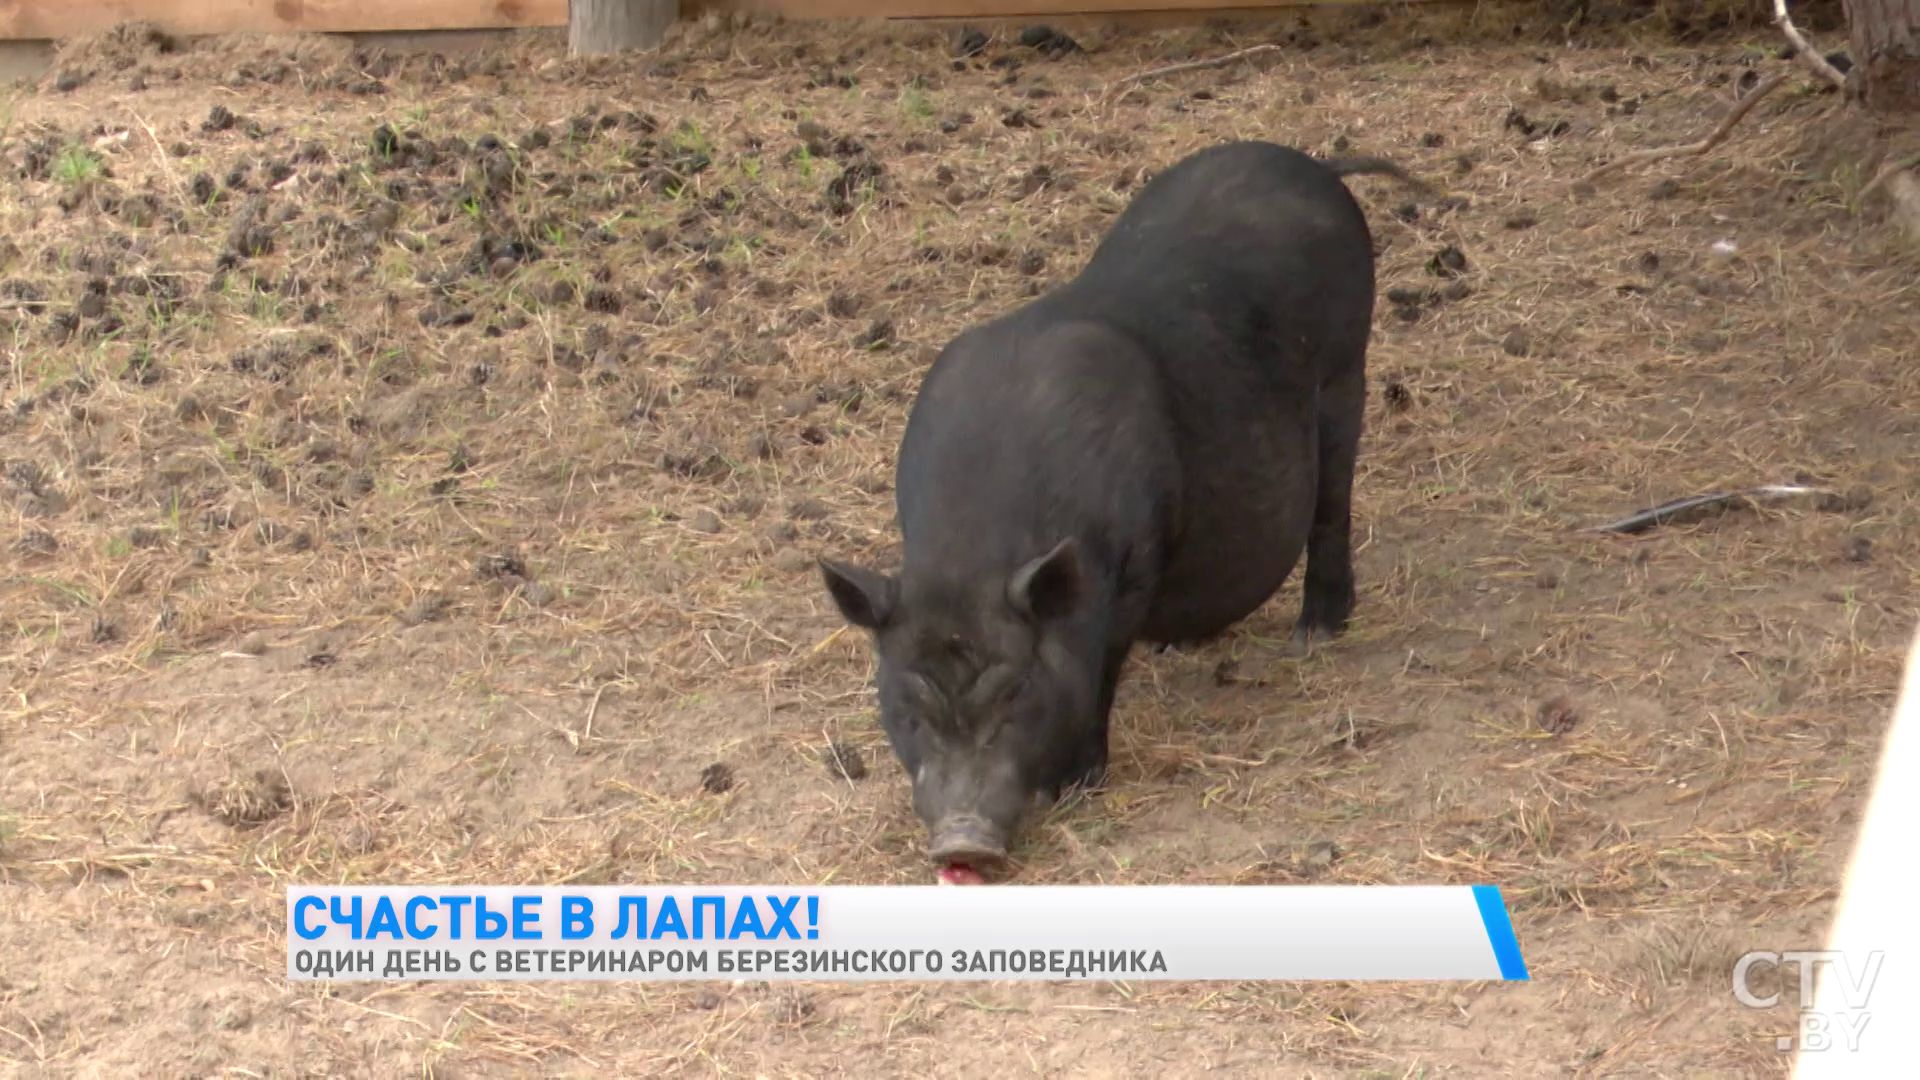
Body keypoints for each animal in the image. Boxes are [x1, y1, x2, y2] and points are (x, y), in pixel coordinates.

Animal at [810, 141, 1413, 883]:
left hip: (1345, 369)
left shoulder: (1135, 561)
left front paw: (1079, 784)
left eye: (1016, 693)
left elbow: (1104, 667)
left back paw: (1316, 635)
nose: (962, 840)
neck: (971, 553)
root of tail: (1317, 166)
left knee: (1333, 501)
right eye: (909, 706)